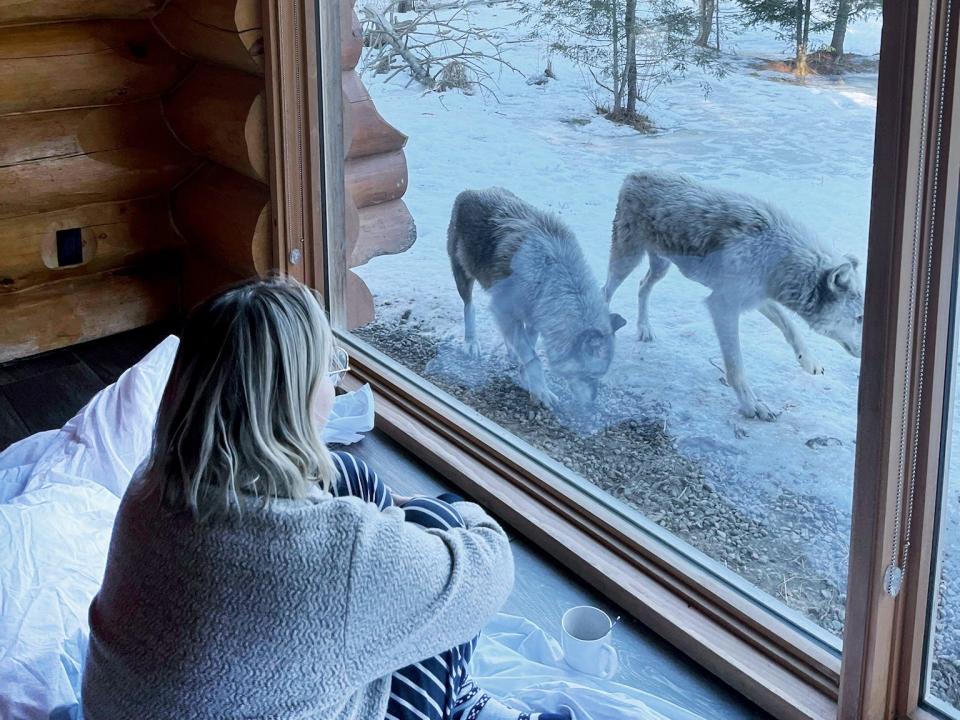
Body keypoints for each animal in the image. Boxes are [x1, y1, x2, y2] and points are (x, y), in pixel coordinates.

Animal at [448, 188, 628, 408]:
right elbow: (534, 359)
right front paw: (542, 391)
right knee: (469, 305)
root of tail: (471, 191)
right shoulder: (503, 309)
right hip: (464, 276)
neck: (551, 281)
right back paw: (471, 343)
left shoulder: (534, 317)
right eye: (592, 376)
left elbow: (529, 347)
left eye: (600, 377)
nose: (591, 404)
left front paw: (527, 379)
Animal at [604, 172, 868, 420]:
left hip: (660, 267)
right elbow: (736, 367)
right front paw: (753, 406)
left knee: (642, 287)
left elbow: (791, 328)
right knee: (605, 291)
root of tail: (634, 175)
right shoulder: (723, 305)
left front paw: (809, 361)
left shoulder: (758, 298)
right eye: (860, 318)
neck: (775, 258)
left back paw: (645, 329)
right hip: (626, 261)